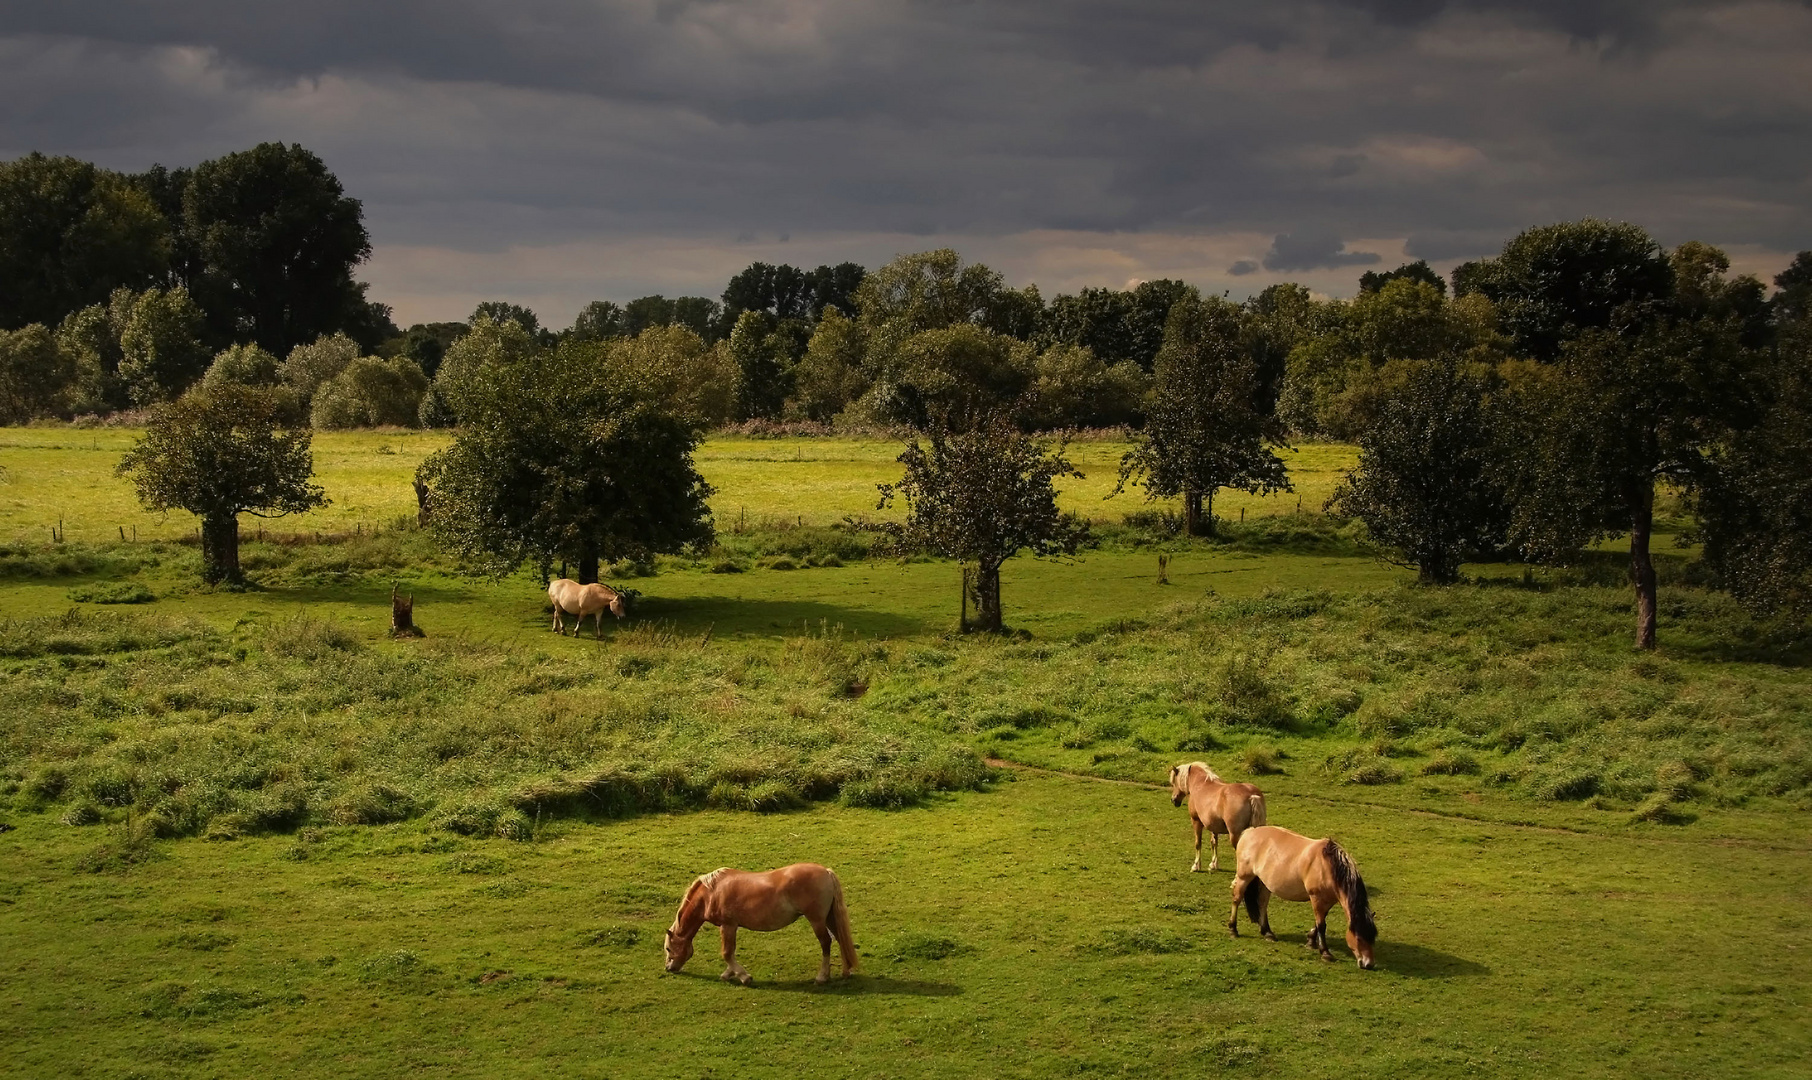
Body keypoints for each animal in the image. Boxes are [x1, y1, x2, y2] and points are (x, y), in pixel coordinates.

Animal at [666, 858, 855, 985]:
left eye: (668, 948)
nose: (669, 968)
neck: (711, 893)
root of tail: (826, 872)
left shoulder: (728, 925)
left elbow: (727, 953)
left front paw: (744, 977)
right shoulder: (731, 927)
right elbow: (730, 952)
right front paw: (729, 974)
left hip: (816, 920)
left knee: (826, 943)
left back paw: (822, 977)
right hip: (828, 918)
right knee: (840, 939)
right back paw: (846, 972)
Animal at [1224, 826, 1377, 971]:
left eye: (1373, 937)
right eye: (1359, 938)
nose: (1368, 964)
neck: (1328, 866)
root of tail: (1249, 832)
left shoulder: (1327, 901)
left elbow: (1319, 921)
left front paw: (1311, 941)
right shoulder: (1317, 898)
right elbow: (1322, 925)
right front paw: (1325, 953)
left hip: (1264, 883)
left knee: (1262, 903)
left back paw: (1267, 932)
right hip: (1244, 877)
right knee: (1237, 899)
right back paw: (1233, 929)